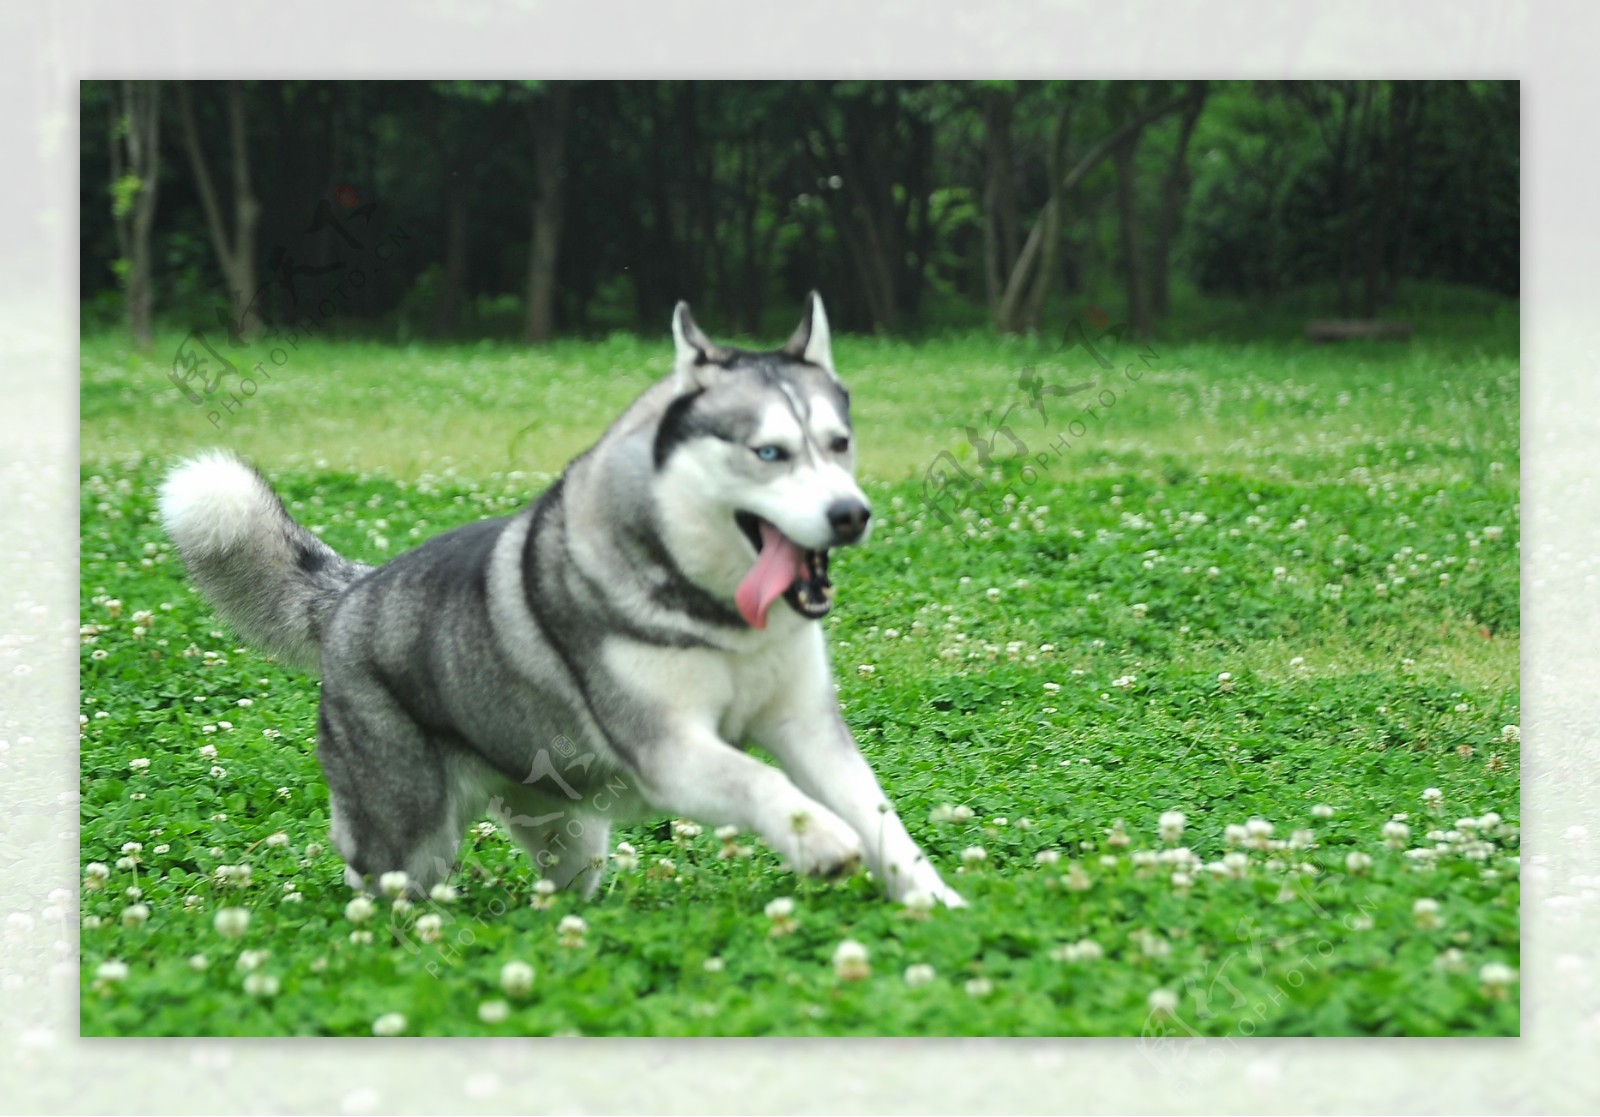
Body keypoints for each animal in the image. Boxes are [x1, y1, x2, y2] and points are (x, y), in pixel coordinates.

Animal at [159, 294, 960, 902]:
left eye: (839, 443)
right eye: (770, 453)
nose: (850, 514)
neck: (720, 616)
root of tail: (354, 591)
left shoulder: (807, 726)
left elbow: (881, 817)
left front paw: (935, 903)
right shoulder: (669, 748)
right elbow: (762, 781)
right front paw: (821, 840)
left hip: (572, 831)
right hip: (408, 834)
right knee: (379, 881)